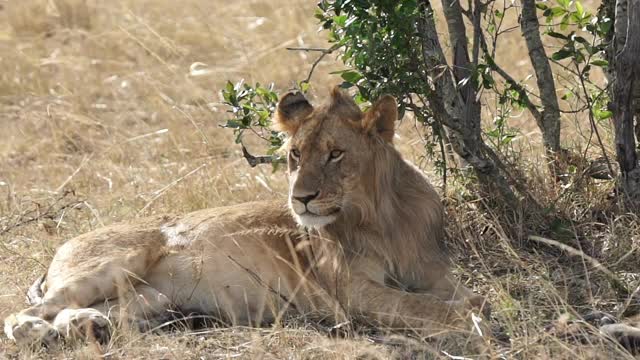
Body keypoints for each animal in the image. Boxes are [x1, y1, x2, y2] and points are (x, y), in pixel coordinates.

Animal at [2, 86, 488, 346]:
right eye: (295, 155)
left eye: (335, 154)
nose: (300, 199)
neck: (381, 218)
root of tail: (61, 249)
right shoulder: (350, 294)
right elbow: (425, 306)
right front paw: (472, 322)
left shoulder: (434, 272)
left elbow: (465, 296)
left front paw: (480, 309)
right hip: (116, 260)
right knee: (25, 312)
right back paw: (38, 331)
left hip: (153, 299)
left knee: (93, 311)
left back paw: (89, 326)